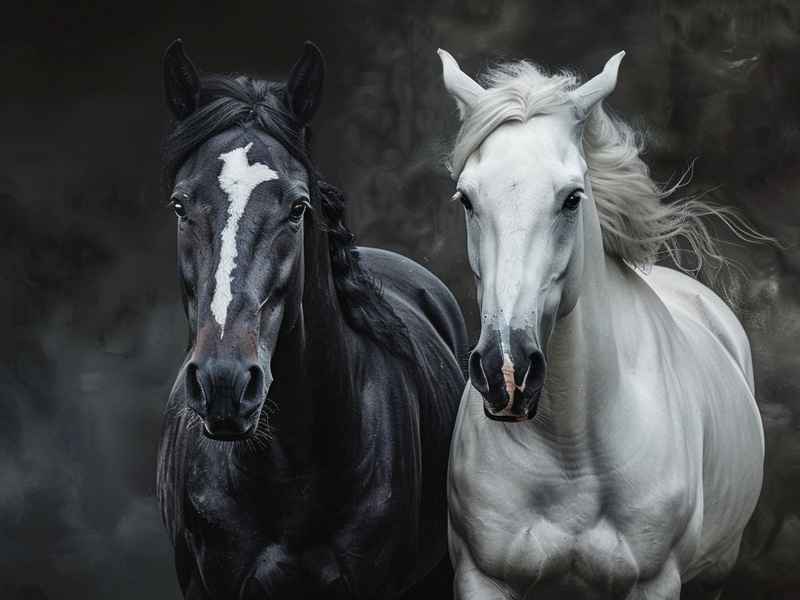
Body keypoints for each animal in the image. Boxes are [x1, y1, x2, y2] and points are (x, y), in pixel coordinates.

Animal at [437, 48, 765, 599]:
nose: (507, 372)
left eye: (572, 197)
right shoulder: (481, 578)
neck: (571, 453)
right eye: (466, 199)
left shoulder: (656, 582)